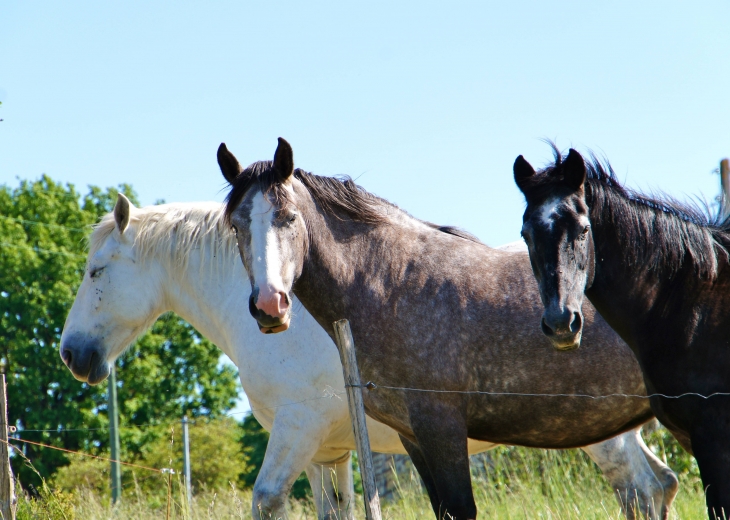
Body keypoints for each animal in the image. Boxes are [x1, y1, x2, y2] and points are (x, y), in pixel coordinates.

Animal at [61, 196, 676, 520]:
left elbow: (266, 501)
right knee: (657, 484)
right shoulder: (327, 453)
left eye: (95, 272)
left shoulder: (297, 429)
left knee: (642, 489)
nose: (73, 355)